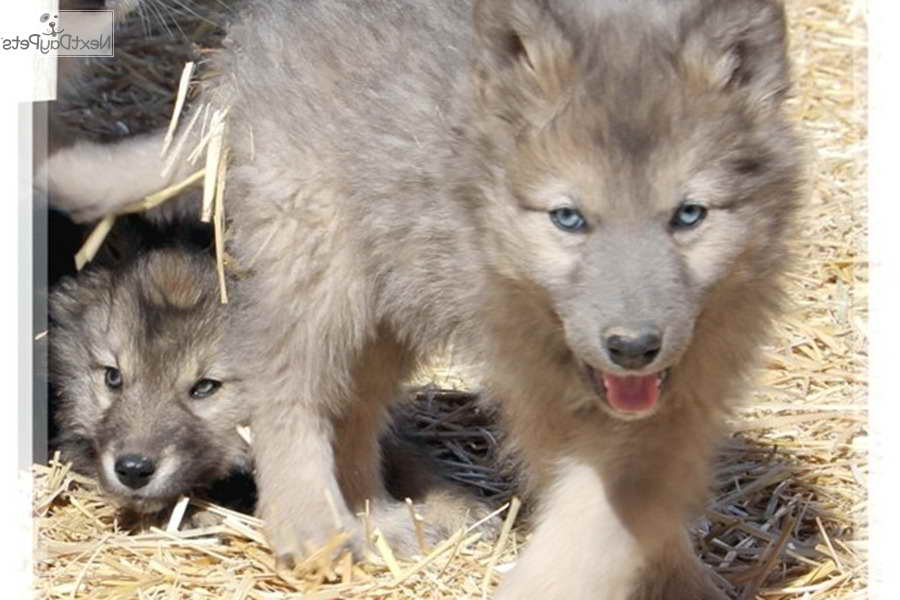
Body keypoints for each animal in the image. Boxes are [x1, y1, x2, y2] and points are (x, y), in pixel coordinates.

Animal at [42, 0, 800, 596]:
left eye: (689, 216)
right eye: (568, 219)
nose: (633, 347)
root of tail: (242, 45)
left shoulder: (678, 401)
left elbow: (640, 515)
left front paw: (682, 582)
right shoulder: (554, 398)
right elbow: (591, 528)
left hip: (384, 307)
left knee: (351, 413)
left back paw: (373, 516)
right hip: (318, 264)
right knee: (288, 392)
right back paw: (313, 528)